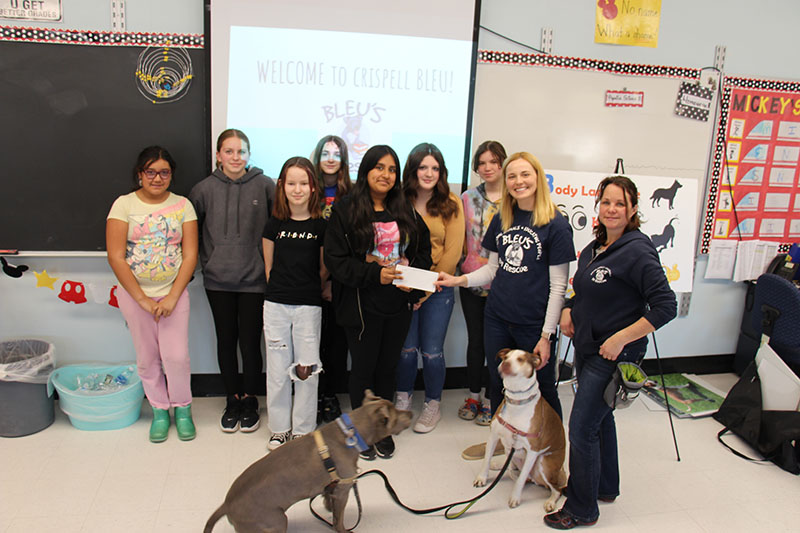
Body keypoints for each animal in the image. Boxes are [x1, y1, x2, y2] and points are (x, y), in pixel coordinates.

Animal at [203, 388, 416, 528]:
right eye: (394, 416)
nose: (411, 412)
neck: (351, 433)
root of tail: (227, 504)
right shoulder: (344, 489)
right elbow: (339, 521)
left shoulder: (332, 486)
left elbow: (329, 502)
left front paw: (327, 508)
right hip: (275, 520)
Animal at [476, 348, 568, 510]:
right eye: (505, 357)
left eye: (521, 359)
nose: (505, 364)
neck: (516, 401)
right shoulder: (493, 435)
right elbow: (486, 460)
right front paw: (482, 477)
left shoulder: (533, 451)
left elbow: (521, 479)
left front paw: (515, 497)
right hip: (511, 452)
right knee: (510, 468)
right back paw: (498, 465)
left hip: (544, 463)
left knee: (556, 489)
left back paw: (550, 502)